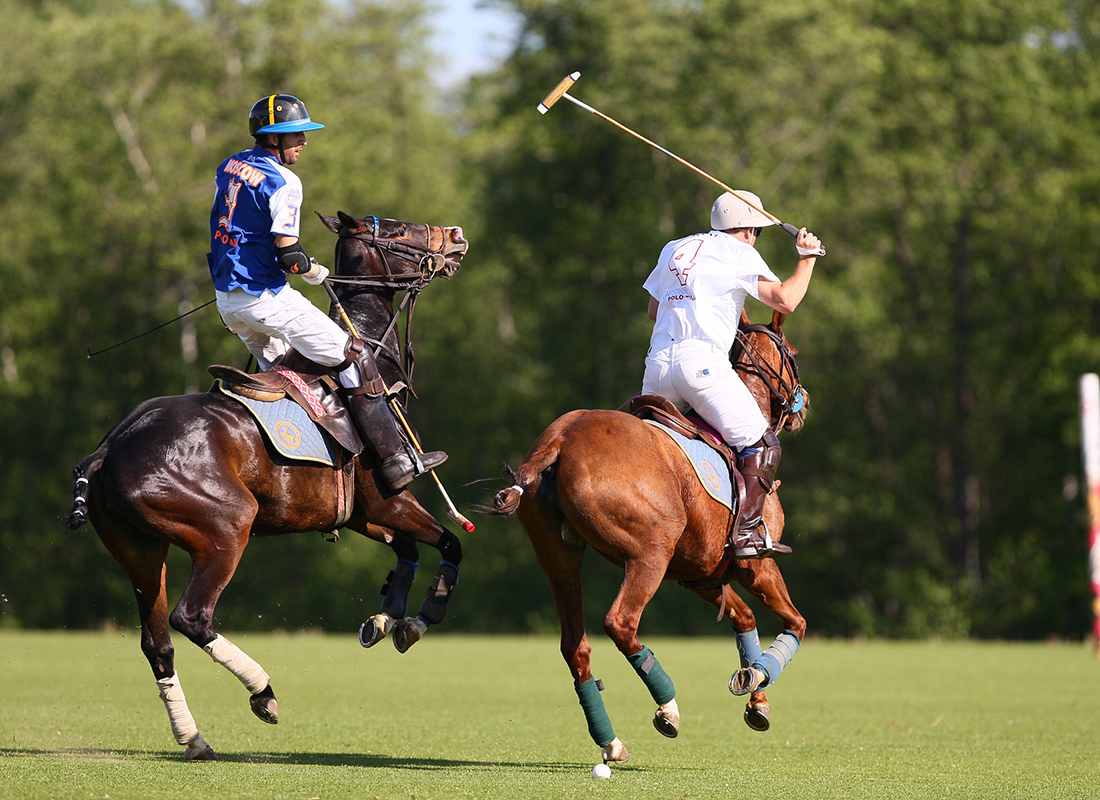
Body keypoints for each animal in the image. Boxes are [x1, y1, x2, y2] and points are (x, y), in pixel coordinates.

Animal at [64, 210, 468, 761]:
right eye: (398, 230)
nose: (456, 236)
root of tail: (109, 448)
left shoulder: (356, 512)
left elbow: (407, 549)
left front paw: (385, 618)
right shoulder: (389, 497)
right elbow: (449, 541)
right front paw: (420, 618)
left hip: (140, 549)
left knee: (157, 641)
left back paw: (194, 738)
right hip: (226, 527)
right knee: (192, 617)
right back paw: (263, 692)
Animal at [490, 310, 809, 765]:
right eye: (793, 353)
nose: (804, 402)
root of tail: (559, 440)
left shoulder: (699, 574)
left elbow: (743, 617)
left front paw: (756, 698)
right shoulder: (756, 564)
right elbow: (796, 623)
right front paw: (759, 676)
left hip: (560, 559)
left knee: (575, 644)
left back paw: (611, 741)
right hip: (649, 555)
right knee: (620, 623)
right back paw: (667, 708)